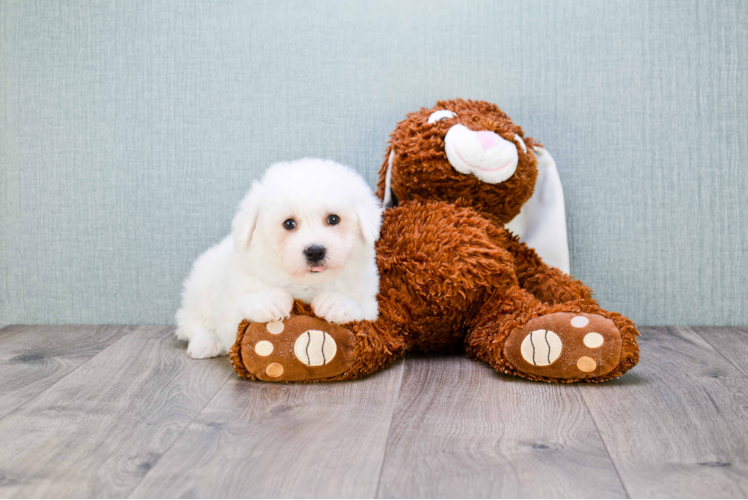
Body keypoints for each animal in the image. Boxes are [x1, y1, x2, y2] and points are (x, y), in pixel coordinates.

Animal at [175, 158, 382, 358]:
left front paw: (335, 304)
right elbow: (239, 309)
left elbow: (361, 310)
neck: (307, 285)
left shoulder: (370, 303)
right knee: (190, 321)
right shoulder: (231, 304)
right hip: (200, 290)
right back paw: (205, 343)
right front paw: (270, 300)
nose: (315, 251)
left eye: (333, 219)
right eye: (289, 224)